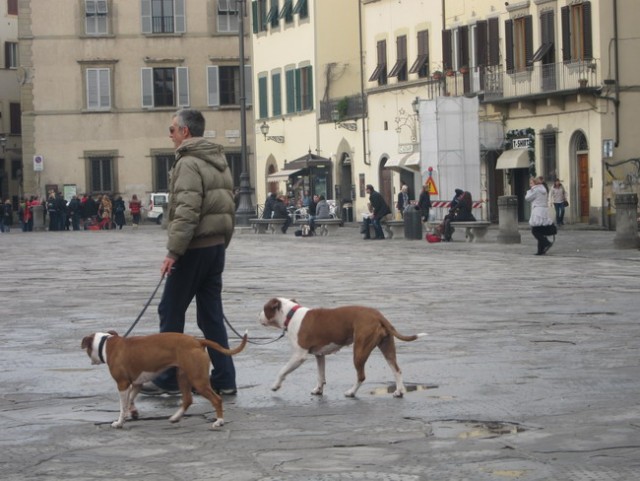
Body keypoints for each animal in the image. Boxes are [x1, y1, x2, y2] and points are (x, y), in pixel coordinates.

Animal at [81, 330, 246, 428]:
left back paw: (219, 421)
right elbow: (129, 401)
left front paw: (119, 422)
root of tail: (198, 341)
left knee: (216, 399)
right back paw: (175, 417)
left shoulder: (122, 384)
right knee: (188, 400)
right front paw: (132, 412)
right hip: (183, 377)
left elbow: (122, 406)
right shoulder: (136, 384)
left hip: (197, 380)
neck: (107, 344)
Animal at [258, 296, 428, 398]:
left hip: (359, 351)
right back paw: (399, 391)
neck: (291, 315)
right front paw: (319, 390)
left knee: (361, 376)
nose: (257, 315)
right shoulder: (320, 355)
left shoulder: (299, 356)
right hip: (387, 347)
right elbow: (320, 375)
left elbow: (282, 371)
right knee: (397, 370)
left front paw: (275, 386)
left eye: (264, 308)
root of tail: (378, 315)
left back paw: (351, 392)